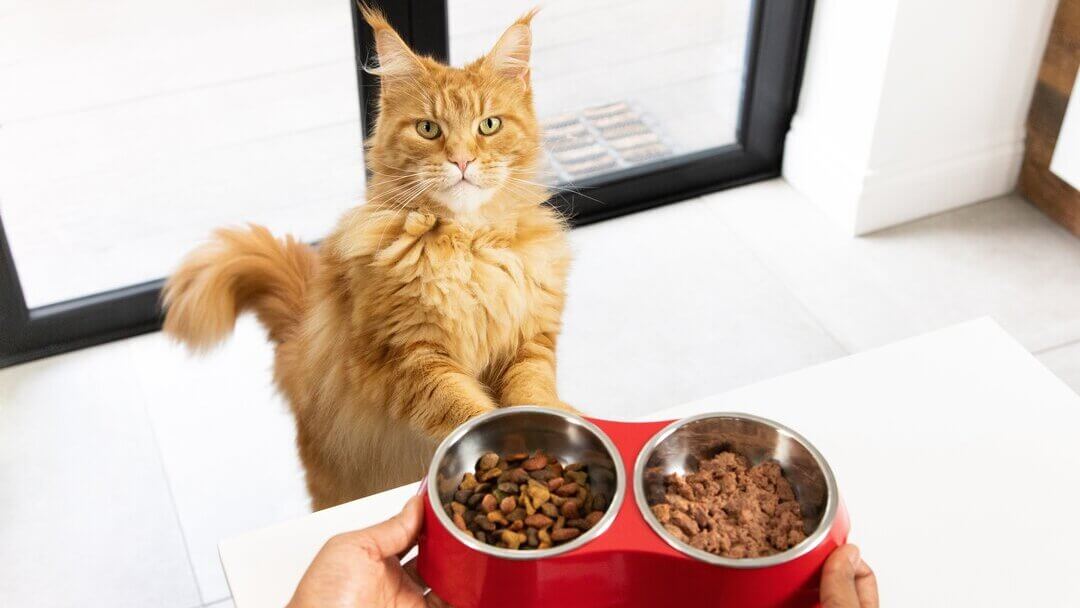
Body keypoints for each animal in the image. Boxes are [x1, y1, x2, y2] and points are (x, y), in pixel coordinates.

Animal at [160, 9, 574, 511]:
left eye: (489, 125)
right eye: (429, 129)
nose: (461, 161)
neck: (467, 244)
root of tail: (300, 333)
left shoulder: (528, 342)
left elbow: (532, 392)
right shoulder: (405, 358)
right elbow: (468, 411)